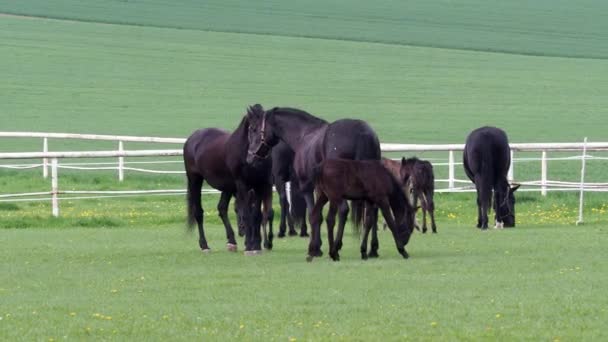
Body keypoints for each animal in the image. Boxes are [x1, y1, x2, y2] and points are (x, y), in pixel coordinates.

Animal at [182, 109, 274, 254]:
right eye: (252, 128)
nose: (241, 230)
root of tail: (192, 138)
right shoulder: (243, 186)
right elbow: (247, 212)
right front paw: (250, 244)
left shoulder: (260, 185)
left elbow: (257, 214)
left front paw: (256, 244)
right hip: (195, 180)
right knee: (198, 212)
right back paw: (204, 245)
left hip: (227, 187)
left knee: (222, 208)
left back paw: (232, 241)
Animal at [243, 104, 380, 260]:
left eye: (253, 129)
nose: (249, 157)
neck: (304, 134)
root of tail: (362, 134)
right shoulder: (319, 189)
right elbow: (318, 214)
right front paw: (318, 245)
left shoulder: (306, 186)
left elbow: (312, 214)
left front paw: (314, 248)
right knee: (371, 215)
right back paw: (369, 249)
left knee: (344, 210)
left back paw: (336, 247)